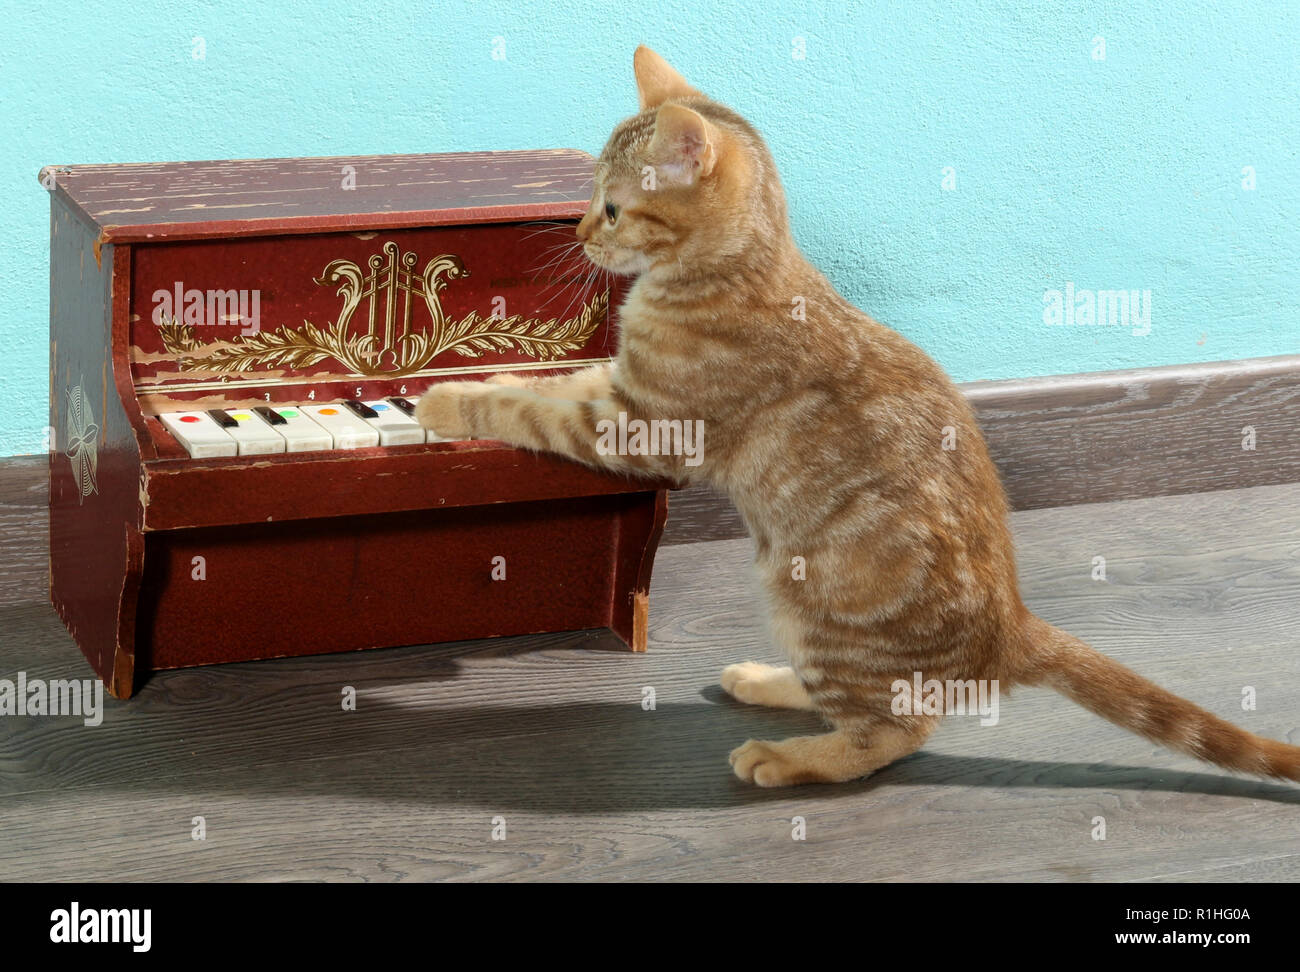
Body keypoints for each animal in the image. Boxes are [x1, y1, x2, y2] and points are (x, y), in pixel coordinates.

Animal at [418, 47, 1300, 790]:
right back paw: (765, 680)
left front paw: (446, 398)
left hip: (810, 600)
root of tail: (1010, 626)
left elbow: (531, 411)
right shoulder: (621, 380)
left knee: (890, 733)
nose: (576, 233)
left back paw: (788, 757)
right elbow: (553, 380)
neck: (726, 270)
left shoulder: (645, 425)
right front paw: (485, 371)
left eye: (610, 207)